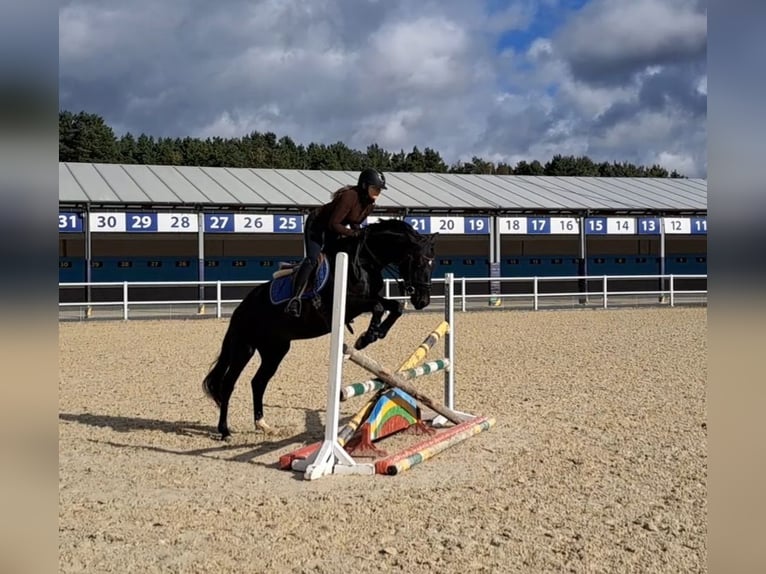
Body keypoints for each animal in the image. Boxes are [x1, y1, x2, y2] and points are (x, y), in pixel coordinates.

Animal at [201, 220, 438, 440]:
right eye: (418, 262)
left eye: (432, 263)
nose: (423, 301)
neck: (364, 261)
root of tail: (241, 308)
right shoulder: (350, 304)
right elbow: (380, 307)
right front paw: (367, 336)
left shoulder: (368, 299)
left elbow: (395, 306)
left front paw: (374, 334)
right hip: (244, 348)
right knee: (228, 384)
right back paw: (225, 430)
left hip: (275, 349)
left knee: (258, 382)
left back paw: (263, 425)